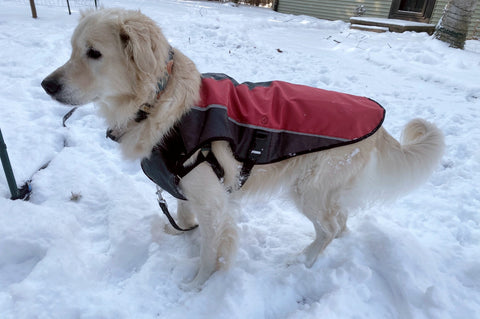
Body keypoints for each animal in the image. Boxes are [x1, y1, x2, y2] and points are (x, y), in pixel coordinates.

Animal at [43, 8, 444, 290]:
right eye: (72, 50)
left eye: (94, 53)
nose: (46, 84)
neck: (157, 101)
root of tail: (379, 123)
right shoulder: (186, 191)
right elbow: (184, 215)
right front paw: (178, 234)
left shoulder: (213, 204)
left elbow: (210, 252)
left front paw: (196, 285)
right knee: (341, 223)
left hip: (309, 190)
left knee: (329, 229)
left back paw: (302, 262)